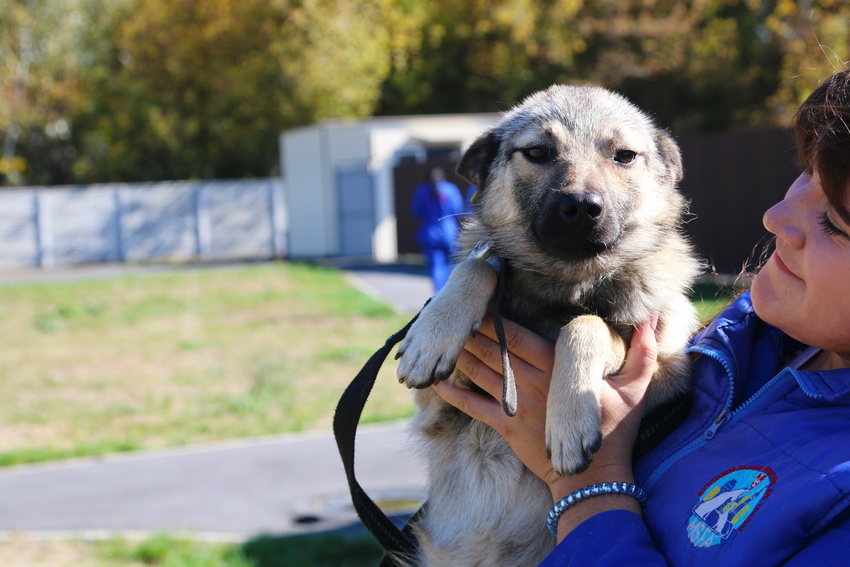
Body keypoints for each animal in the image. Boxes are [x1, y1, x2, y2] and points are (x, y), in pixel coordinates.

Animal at [394, 85, 700, 567]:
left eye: (624, 156)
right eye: (537, 152)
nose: (582, 206)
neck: (563, 291)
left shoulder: (662, 372)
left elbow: (587, 323)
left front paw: (569, 420)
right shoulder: (441, 406)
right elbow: (479, 267)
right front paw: (433, 335)